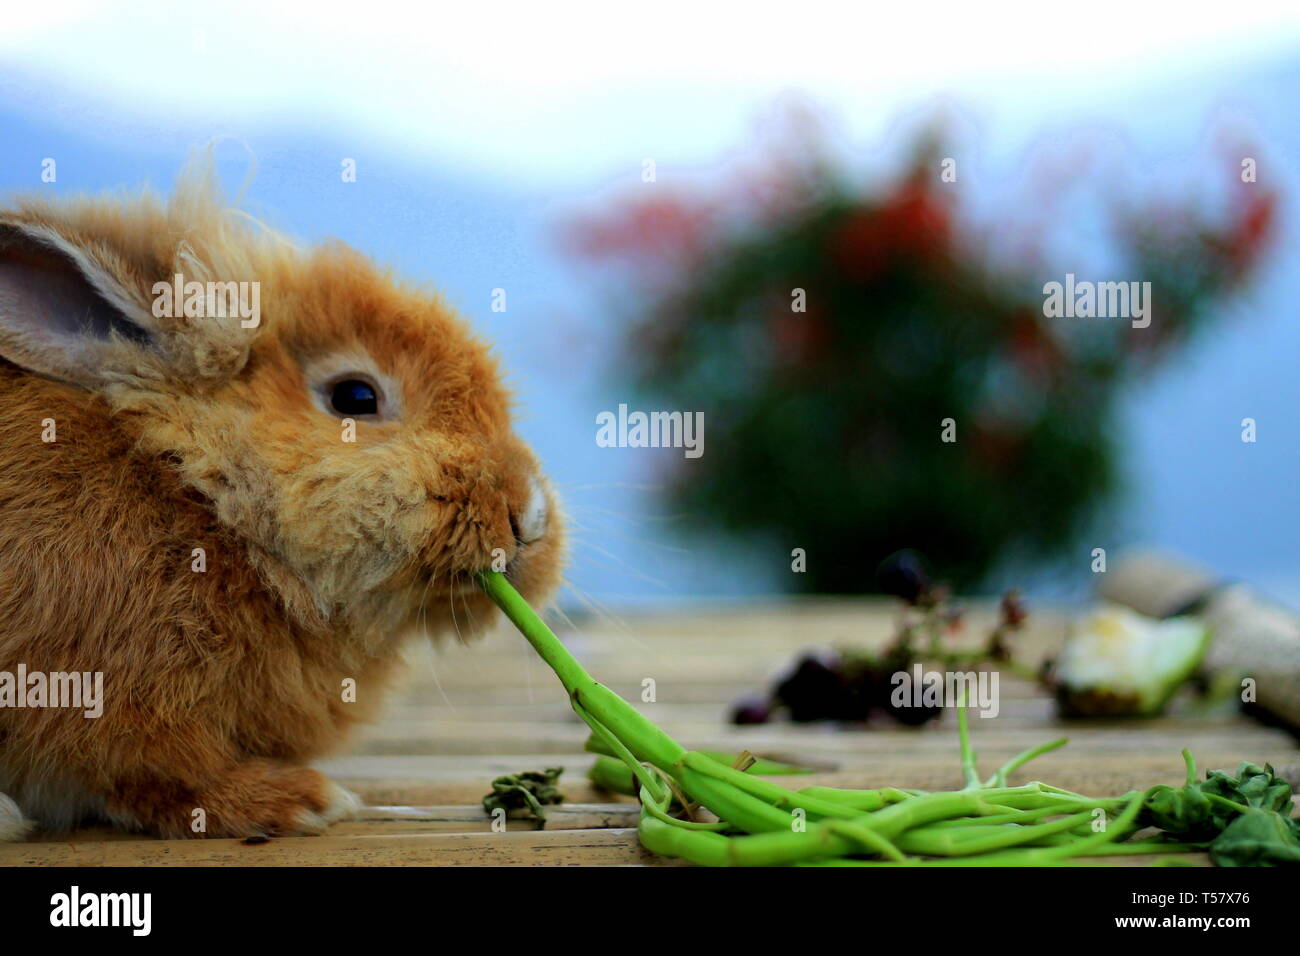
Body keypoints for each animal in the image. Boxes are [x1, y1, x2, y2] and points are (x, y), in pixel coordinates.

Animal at [0, 159, 564, 840]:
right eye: (355, 397)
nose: (529, 516)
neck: (198, 497)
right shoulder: (99, 702)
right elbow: (158, 775)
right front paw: (295, 801)